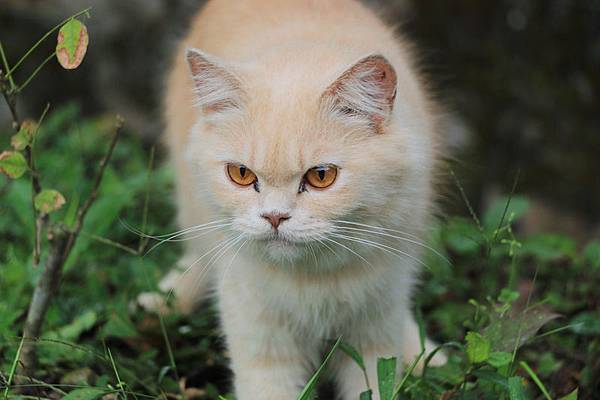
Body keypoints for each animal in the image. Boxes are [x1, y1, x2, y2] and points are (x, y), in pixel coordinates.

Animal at [143, 0, 448, 398]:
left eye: (321, 176)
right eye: (241, 174)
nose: (274, 217)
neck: (311, 279)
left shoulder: (375, 330)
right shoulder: (260, 338)